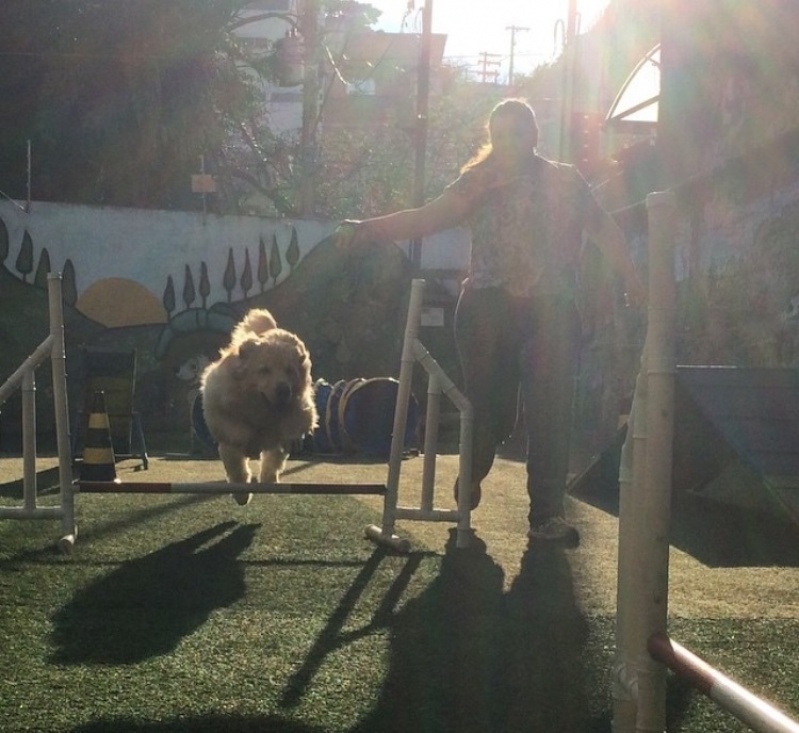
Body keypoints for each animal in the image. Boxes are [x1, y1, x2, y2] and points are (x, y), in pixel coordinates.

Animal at [200, 308, 318, 504]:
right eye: (264, 370)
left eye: (289, 370)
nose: (284, 390)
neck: (261, 410)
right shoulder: (224, 417)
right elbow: (237, 461)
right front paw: (241, 495)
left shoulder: (298, 410)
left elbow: (285, 436)